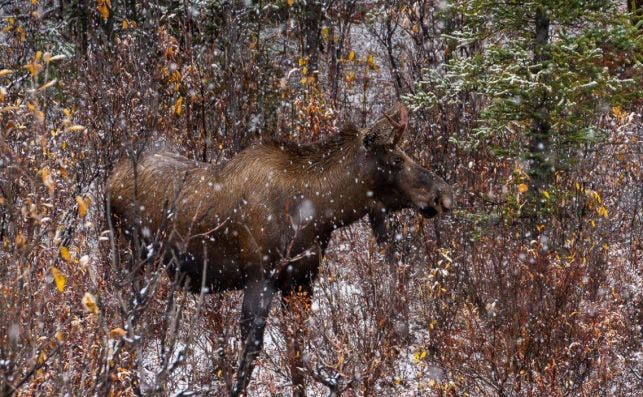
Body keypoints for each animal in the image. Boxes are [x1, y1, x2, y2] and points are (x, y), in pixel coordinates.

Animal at [107, 103, 452, 394]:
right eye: (396, 160)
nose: (443, 194)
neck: (319, 213)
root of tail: (110, 180)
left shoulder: (301, 281)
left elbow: (296, 351)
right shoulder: (260, 278)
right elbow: (251, 351)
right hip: (131, 257)